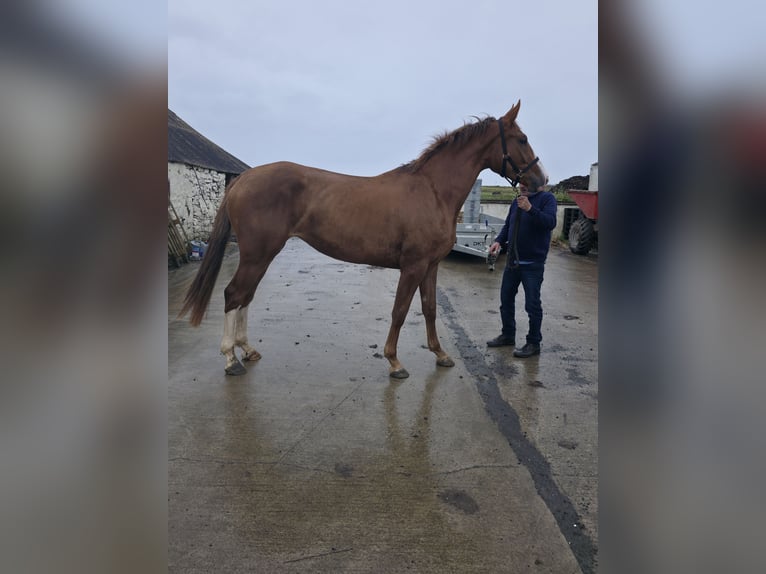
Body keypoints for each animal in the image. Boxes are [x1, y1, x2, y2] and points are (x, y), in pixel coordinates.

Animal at [179, 101, 547, 378]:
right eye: (522, 138)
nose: (541, 181)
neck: (432, 191)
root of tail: (243, 179)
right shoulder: (413, 266)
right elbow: (400, 311)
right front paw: (395, 362)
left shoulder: (431, 266)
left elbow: (429, 309)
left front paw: (440, 354)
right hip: (258, 254)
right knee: (234, 294)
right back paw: (230, 359)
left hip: (262, 255)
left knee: (245, 297)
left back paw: (247, 349)